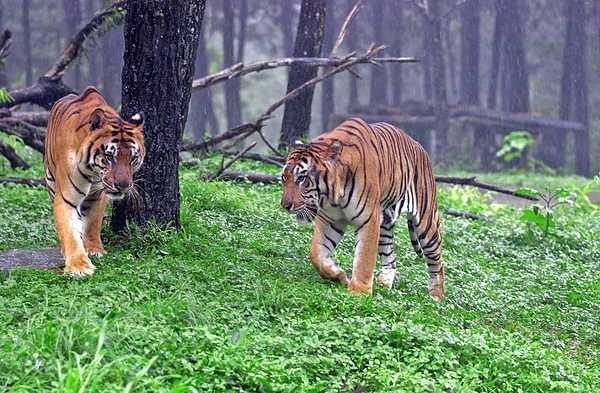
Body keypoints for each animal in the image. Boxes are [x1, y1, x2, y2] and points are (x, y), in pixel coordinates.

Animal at [44, 86, 145, 276]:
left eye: (133, 158)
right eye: (110, 156)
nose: (123, 186)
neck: (93, 172)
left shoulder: (98, 196)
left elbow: (92, 223)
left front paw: (94, 249)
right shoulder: (66, 198)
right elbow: (69, 231)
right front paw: (78, 265)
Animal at [282, 116, 446, 298]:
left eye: (301, 178)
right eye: (284, 177)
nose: (285, 205)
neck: (335, 194)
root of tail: (420, 147)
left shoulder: (368, 220)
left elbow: (364, 259)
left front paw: (359, 292)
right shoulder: (330, 219)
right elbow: (316, 254)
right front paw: (338, 275)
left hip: (427, 223)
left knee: (437, 263)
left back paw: (436, 297)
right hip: (384, 224)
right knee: (391, 259)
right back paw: (383, 286)